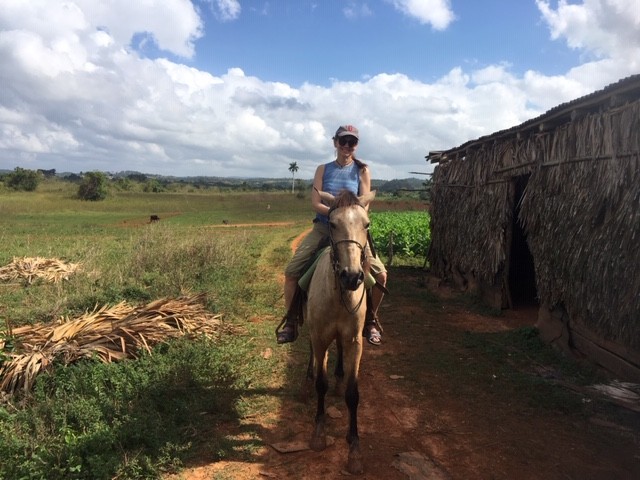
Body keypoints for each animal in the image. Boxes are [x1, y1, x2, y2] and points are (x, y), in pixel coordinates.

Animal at [304, 187, 376, 472]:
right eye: (333, 224)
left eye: (366, 224)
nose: (352, 276)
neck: (339, 293)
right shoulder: (320, 336)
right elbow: (320, 384)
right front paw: (319, 432)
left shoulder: (355, 341)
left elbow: (353, 393)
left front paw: (354, 447)